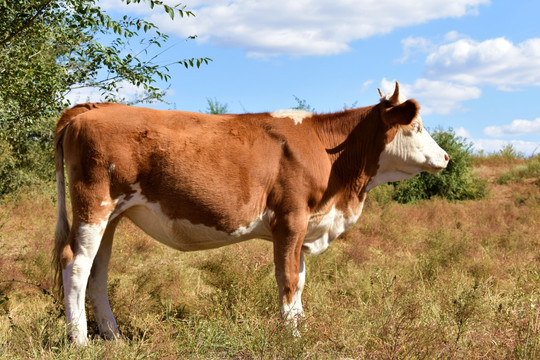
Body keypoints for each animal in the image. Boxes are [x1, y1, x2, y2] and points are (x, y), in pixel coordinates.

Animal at [52, 81, 450, 344]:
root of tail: (94, 108)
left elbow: (300, 280)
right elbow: (287, 279)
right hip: (94, 204)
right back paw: (80, 340)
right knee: (76, 263)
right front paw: (291, 336)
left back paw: (112, 335)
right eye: (416, 126)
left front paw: (301, 327)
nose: (446, 157)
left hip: (112, 215)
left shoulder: (303, 226)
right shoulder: (291, 219)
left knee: (97, 270)